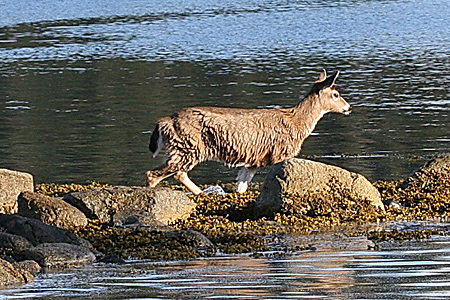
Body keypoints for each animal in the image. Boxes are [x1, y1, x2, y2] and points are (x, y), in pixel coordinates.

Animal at [147, 69, 352, 195]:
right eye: (335, 94)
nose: (348, 108)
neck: (298, 122)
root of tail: (165, 122)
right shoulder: (280, 153)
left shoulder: (254, 159)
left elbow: (241, 185)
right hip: (188, 146)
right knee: (157, 174)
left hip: (185, 148)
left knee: (177, 172)